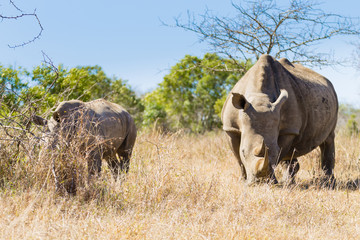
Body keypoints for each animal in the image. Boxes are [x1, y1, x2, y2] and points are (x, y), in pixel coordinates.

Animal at [221, 54, 338, 186]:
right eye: (244, 152)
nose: (260, 182)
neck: (259, 97)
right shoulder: (231, 128)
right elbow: (238, 158)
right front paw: (242, 181)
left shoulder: (288, 130)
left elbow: (279, 153)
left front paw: (273, 182)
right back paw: (290, 183)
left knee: (328, 138)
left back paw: (328, 183)